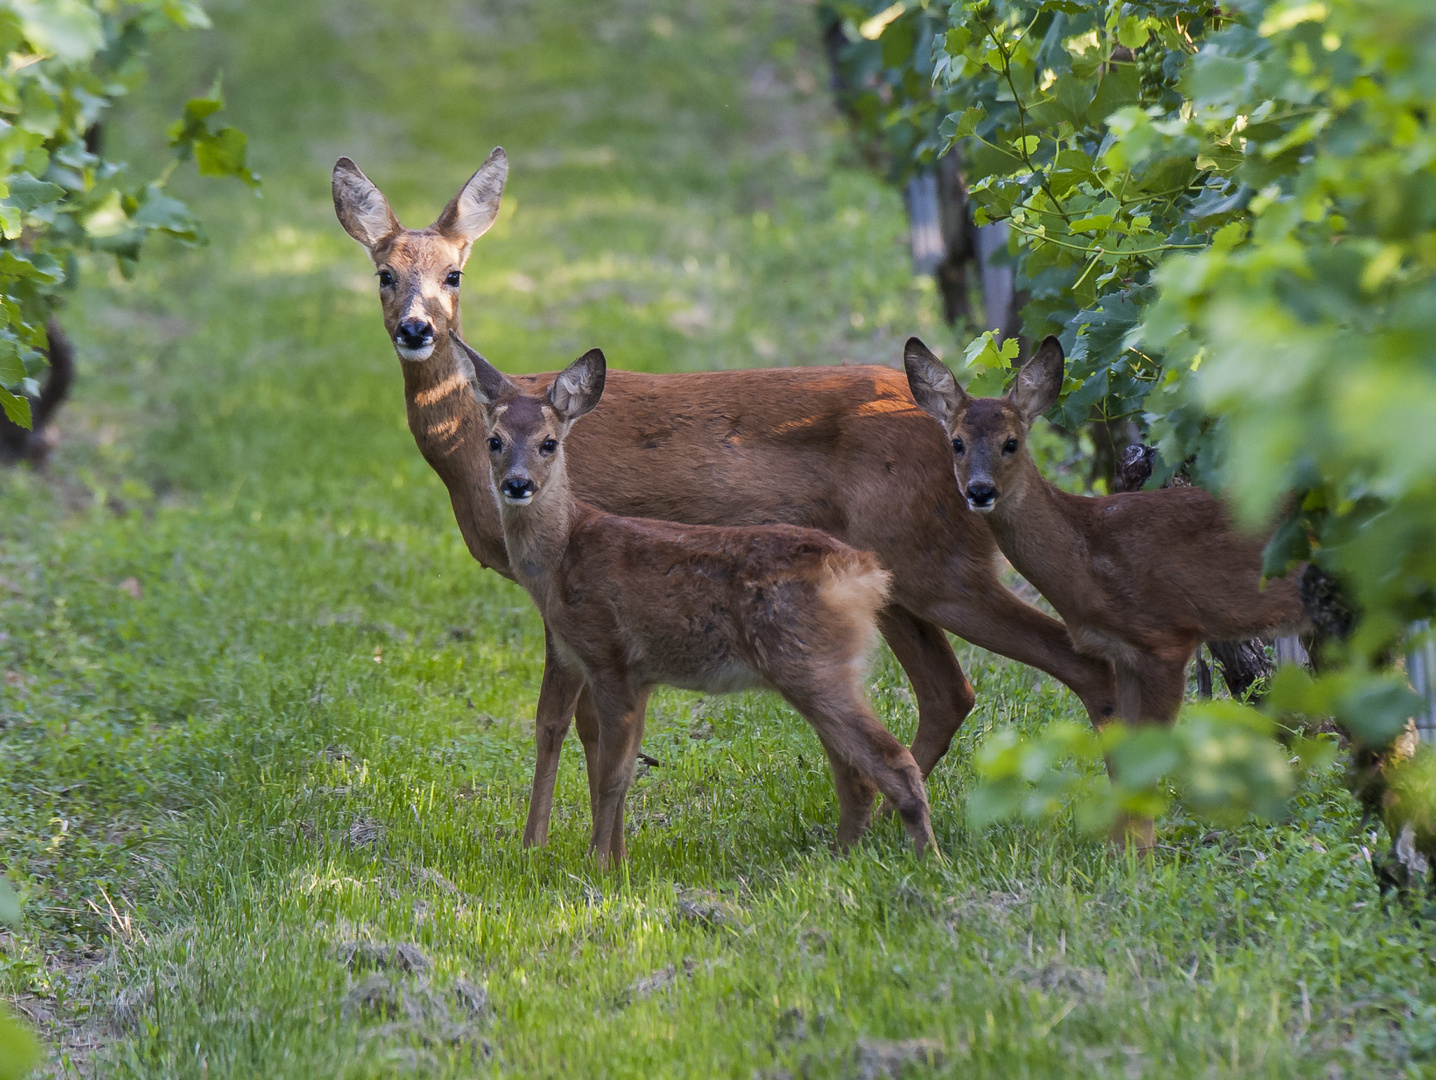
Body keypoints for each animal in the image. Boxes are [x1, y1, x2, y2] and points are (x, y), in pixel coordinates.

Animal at [453, 333, 936, 867]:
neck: (565, 554)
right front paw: (619, 861)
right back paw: (839, 858)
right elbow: (621, 773)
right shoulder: (638, 675)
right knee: (856, 772)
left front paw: (598, 865)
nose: (517, 484)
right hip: (823, 669)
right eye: (494, 441)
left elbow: (613, 775)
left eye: (549, 443)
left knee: (891, 760)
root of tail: (865, 572)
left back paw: (927, 861)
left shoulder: (610, 657)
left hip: (813, 664)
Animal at [907, 333, 1315, 729]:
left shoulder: (1166, 636)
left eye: (1011, 443)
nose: (980, 491)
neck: (1088, 555)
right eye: (956, 443)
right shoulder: (1123, 652)